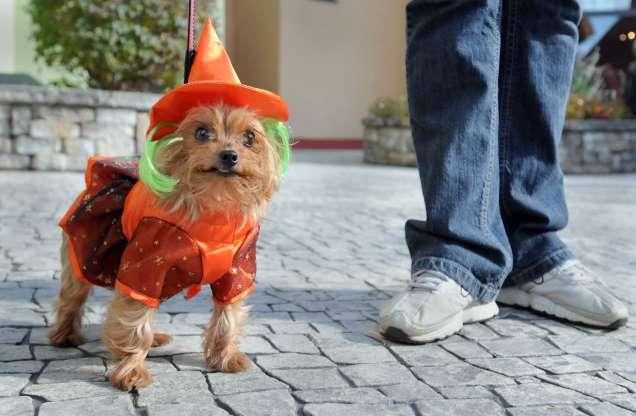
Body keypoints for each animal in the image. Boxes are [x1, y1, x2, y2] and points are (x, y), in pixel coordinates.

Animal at [51, 104, 284, 390]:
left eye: (250, 137)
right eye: (201, 133)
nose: (229, 155)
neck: (212, 209)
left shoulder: (237, 270)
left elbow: (227, 314)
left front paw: (225, 357)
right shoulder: (144, 265)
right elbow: (136, 320)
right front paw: (132, 370)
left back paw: (156, 338)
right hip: (85, 252)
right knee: (72, 297)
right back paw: (64, 335)